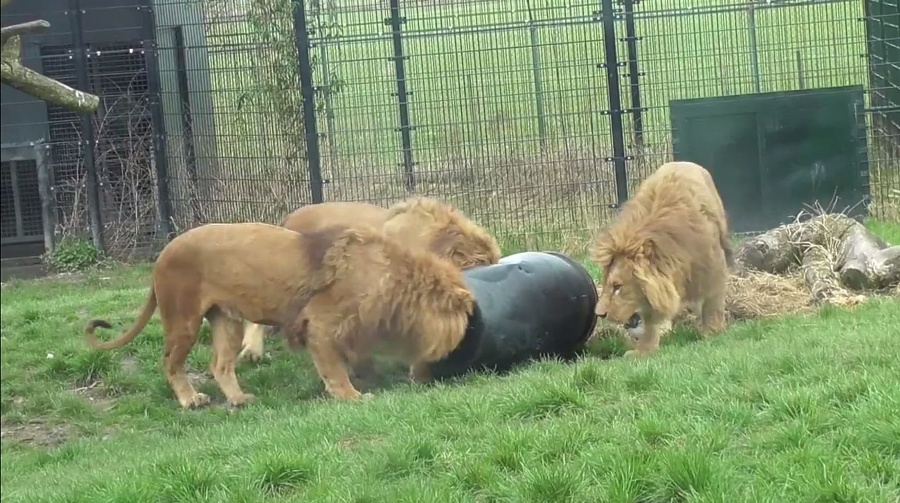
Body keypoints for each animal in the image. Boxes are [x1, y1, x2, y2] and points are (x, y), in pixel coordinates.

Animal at [83, 223, 474, 410]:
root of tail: (163, 252)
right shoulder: (320, 326)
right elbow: (334, 370)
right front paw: (352, 397)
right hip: (183, 319)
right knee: (170, 363)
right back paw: (190, 400)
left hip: (226, 320)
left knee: (220, 365)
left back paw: (239, 399)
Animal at [592, 162, 732, 358]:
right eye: (606, 284)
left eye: (618, 286)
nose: (599, 314)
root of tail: (684, 162)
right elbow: (650, 320)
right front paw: (644, 351)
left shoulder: (714, 268)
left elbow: (712, 304)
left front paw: (713, 334)